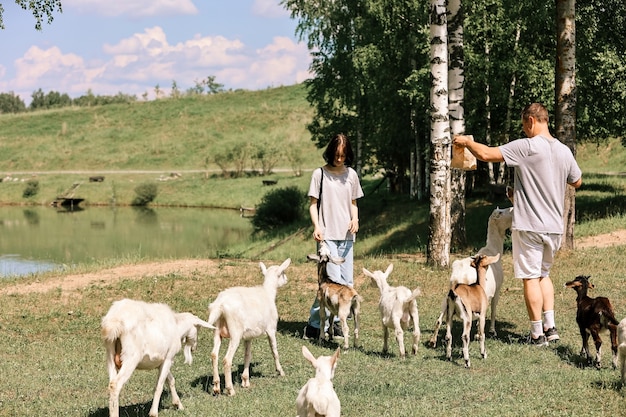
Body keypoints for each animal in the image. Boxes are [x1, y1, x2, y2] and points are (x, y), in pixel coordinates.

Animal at [207, 255, 290, 394]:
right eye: (283, 272)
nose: (287, 279)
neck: (268, 293)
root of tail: (220, 305)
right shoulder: (271, 329)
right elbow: (274, 351)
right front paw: (281, 371)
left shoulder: (248, 336)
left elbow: (247, 355)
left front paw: (245, 381)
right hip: (235, 332)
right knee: (227, 360)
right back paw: (230, 389)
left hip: (217, 330)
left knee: (214, 355)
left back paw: (217, 386)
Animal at [428, 206, 512, 348]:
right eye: (501, 212)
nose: (512, 208)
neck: (493, 250)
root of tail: (459, 275)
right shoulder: (496, 290)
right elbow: (493, 310)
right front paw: (491, 331)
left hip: (447, 297)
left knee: (439, 319)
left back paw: (433, 341)